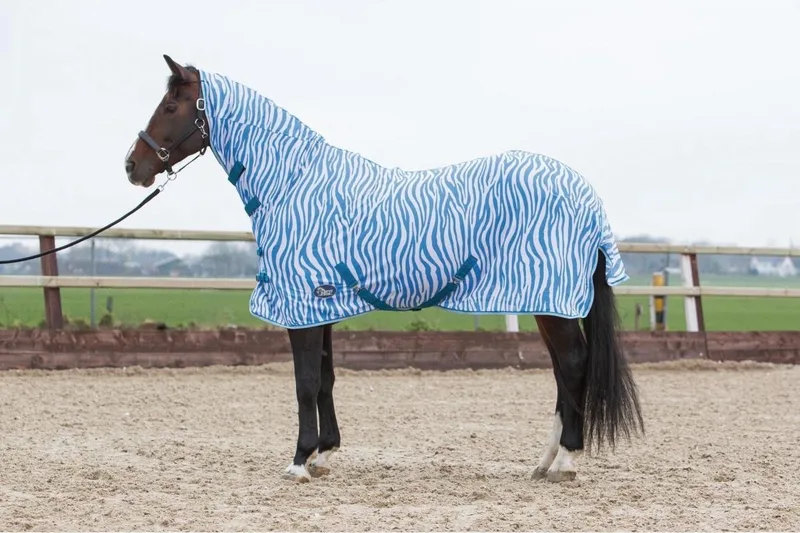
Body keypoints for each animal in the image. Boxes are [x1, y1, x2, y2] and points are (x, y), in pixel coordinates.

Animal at [124, 54, 644, 483]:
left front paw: (299, 461)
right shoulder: (321, 303)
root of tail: (586, 195)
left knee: (572, 366)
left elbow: (305, 382)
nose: (132, 166)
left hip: (552, 303)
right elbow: (326, 377)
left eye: (170, 106)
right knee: (562, 371)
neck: (295, 185)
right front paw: (324, 454)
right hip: (546, 303)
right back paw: (544, 461)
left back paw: (566, 461)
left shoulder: (302, 303)